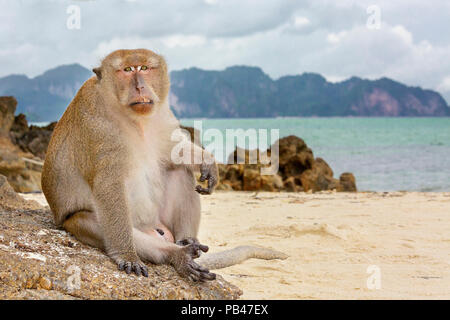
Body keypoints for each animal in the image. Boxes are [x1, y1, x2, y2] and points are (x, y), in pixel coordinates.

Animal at [43, 48, 288, 282]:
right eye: (127, 70)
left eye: (144, 67)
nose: (140, 86)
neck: (134, 119)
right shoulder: (97, 127)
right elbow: (108, 187)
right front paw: (126, 254)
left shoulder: (160, 113)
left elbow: (171, 149)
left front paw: (207, 161)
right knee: (88, 219)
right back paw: (176, 255)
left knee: (180, 172)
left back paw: (188, 242)